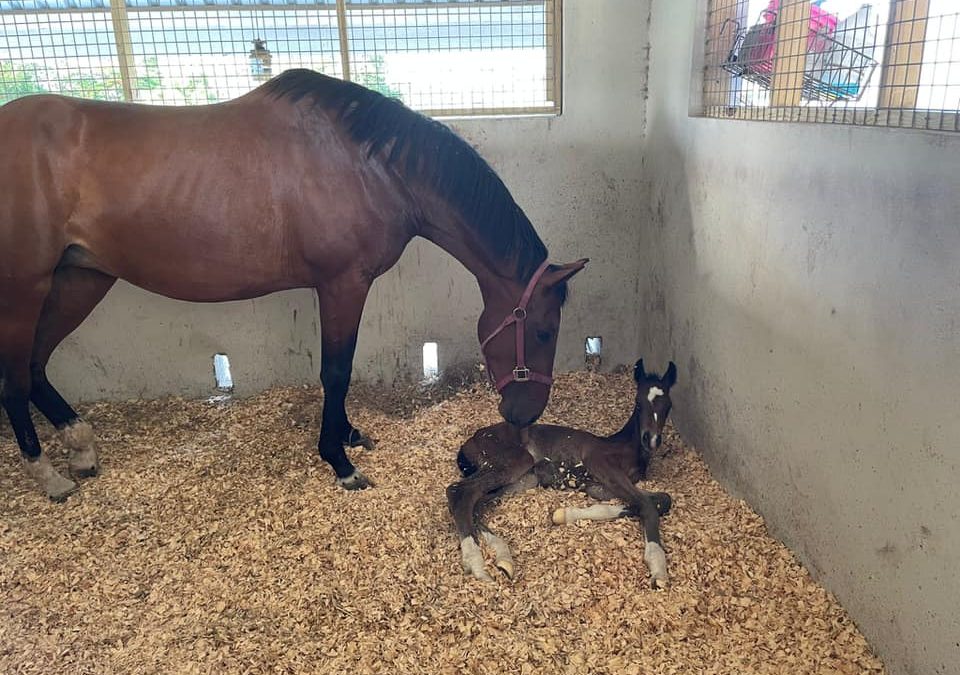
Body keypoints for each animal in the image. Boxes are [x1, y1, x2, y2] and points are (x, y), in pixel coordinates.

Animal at [0, 69, 587, 501]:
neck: (372, 167)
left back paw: (81, 448)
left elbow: (339, 369)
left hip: (80, 278)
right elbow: (336, 371)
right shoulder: (342, 284)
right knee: (14, 378)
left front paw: (348, 435)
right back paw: (49, 477)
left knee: (37, 365)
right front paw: (340, 460)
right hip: (26, 289)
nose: (525, 415)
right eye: (542, 331)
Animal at [447, 359, 677, 588]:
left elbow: (661, 500)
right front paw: (658, 568)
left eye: (668, 406)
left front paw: (563, 514)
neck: (624, 447)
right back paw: (477, 566)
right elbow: (647, 505)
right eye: (638, 403)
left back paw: (503, 558)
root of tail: (471, 440)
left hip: (523, 479)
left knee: (478, 503)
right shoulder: (601, 466)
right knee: (459, 491)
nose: (652, 439)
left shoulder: (601, 487)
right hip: (515, 461)